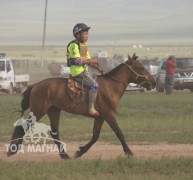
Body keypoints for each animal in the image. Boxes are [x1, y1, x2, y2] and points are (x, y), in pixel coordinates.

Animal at [7, 53, 156, 159]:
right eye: (140, 67)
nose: (153, 82)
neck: (111, 86)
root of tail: (35, 85)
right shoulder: (109, 115)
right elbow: (119, 133)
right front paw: (129, 152)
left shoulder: (100, 117)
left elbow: (95, 136)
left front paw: (80, 151)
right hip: (38, 111)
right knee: (23, 126)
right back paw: (12, 150)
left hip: (53, 111)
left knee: (54, 132)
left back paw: (65, 155)